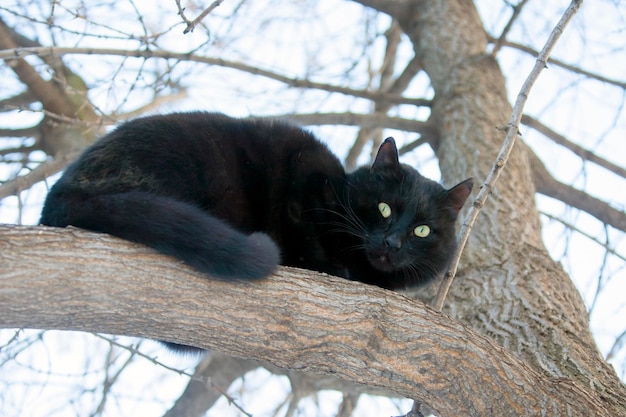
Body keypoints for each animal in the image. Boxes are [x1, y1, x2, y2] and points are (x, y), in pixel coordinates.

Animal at [41, 110, 470, 290]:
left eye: (422, 230)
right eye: (383, 209)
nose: (392, 243)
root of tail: (58, 192)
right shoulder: (304, 163)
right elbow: (304, 231)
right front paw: (327, 266)